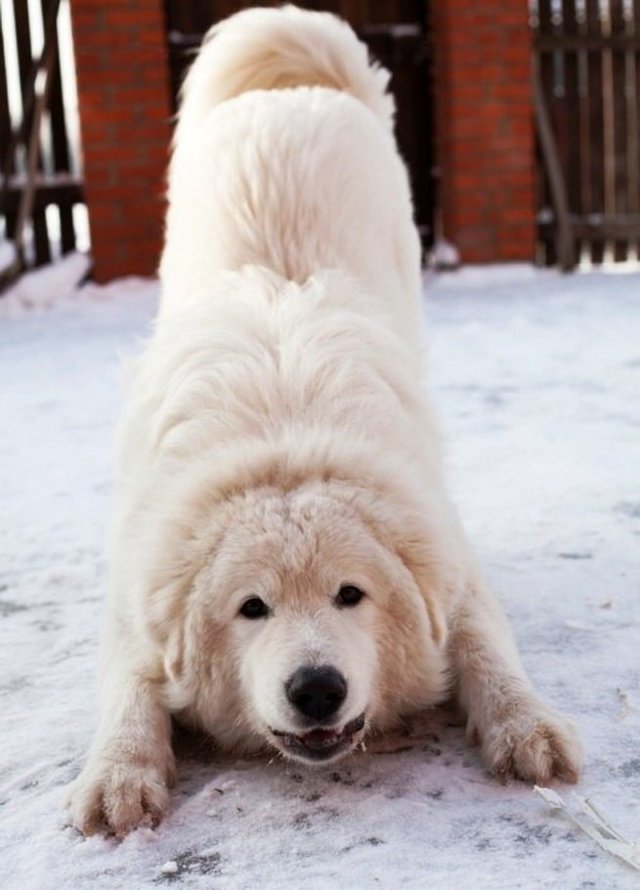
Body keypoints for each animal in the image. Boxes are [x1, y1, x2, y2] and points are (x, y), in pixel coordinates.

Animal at [69, 3, 580, 832]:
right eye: (252, 608)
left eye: (351, 594)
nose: (316, 689)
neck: (284, 442)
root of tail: (293, 90)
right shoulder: (134, 604)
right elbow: (129, 691)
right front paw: (117, 773)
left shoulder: (452, 570)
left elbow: (488, 651)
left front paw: (527, 726)